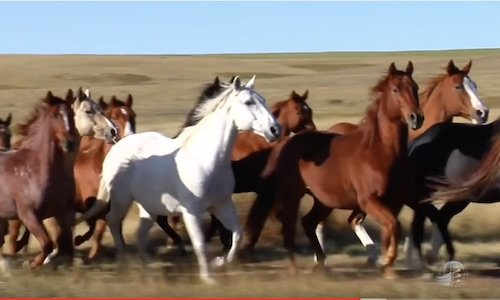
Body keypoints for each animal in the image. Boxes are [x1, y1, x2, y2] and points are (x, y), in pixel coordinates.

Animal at [0, 91, 78, 268]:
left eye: (72, 114)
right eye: (55, 115)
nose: (70, 143)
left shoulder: (61, 212)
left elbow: (64, 242)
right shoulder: (28, 215)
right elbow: (47, 243)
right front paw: (31, 263)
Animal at [78, 76, 282, 282]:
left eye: (263, 100)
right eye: (248, 102)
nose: (275, 129)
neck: (207, 159)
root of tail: (118, 146)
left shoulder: (222, 204)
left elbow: (237, 235)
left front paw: (218, 262)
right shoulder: (192, 211)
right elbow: (200, 243)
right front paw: (207, 278)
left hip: (149, 206)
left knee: (140, 233)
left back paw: (147, 266)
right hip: (122, 200)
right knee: (112, 221)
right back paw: (125, 261)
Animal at [262, 62, 422, 278]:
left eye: (415, 88)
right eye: (396, 89)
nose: (416, 118)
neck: (380, 152)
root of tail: (287, 143)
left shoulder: (394, 203)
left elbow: (391, 228)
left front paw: (387, 268)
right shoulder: (368, 201)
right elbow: (392, 225)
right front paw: (386, 261)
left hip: (323, 201)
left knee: (308, 222)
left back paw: (321, 264)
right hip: (293, 195)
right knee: (290, 226)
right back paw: (295, 268)